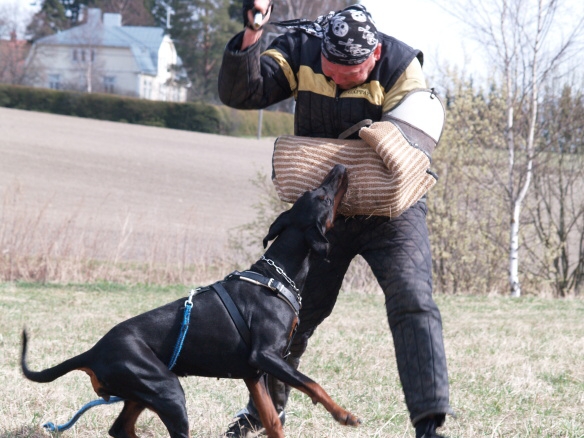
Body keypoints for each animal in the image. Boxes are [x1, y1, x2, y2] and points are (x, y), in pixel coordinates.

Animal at [20, 165, 358, 438]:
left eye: (314, 192)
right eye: (323, 198)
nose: (340, 167)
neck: (275, 275)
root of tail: (93, 352)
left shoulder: (253, 372)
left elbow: (272, 421)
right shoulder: (266, 356)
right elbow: (311, 382)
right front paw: (344, 414)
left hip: (144, 391)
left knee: (120, 428)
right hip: (168, 391)